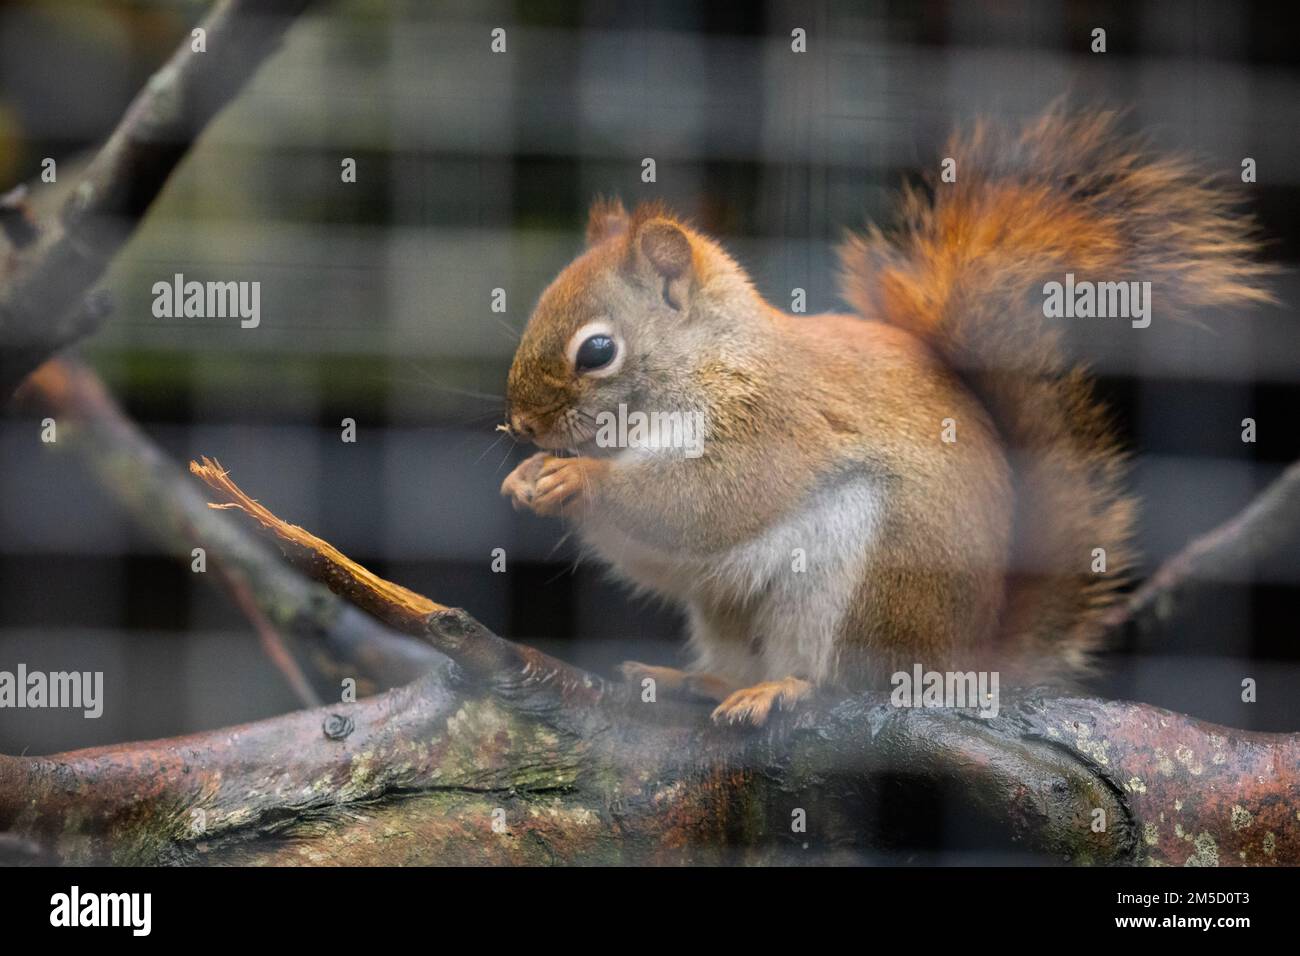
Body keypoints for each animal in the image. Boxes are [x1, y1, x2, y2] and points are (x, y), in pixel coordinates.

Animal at [500, 107, 1273, 726]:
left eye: (598, 350)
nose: (523, 426)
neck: (707, 362)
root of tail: (963, 662)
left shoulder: (771, 423)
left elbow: (706, 501)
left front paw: (579, 481)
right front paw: (527, 478)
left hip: (868, 581)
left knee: (848, 680)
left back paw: (786, 689)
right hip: (726, 609)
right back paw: (697, 681)